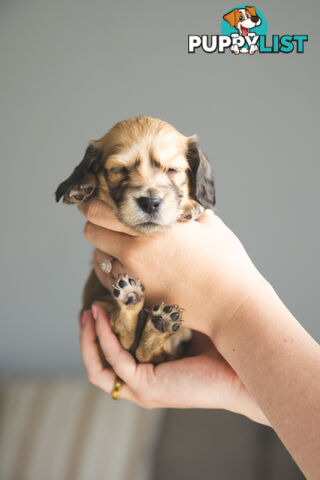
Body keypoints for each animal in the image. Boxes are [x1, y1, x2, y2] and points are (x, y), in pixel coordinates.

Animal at [55, 116, 215, 364]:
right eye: (120, 170)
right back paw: (134, 302)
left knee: (146, 352)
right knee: (130, 342)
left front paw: (191, 206)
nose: (150, 202)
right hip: (98, 306)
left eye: (172, 170)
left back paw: (158, 322)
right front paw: (82, 186)